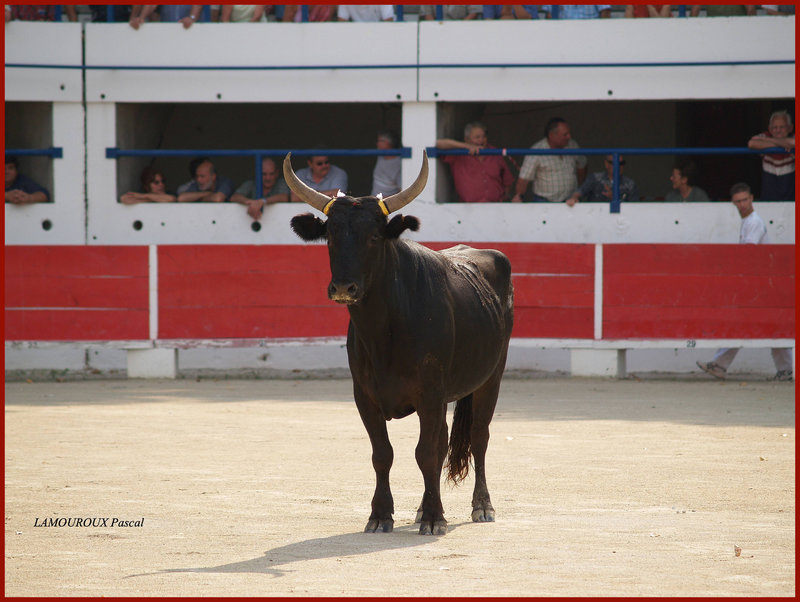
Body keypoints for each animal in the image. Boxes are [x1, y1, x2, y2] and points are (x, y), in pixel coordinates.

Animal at [284, 151, 516, 536]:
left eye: (375, 235)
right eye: (330, 234)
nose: (343, 287)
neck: (384, 332)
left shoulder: (430, 393)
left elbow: (426, 453)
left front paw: (436, 518)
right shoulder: (364, 396)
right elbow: (383, 453)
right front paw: (381, 515)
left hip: (491, 376)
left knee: (479, 436)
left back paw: (481, 506)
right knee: (445, 439)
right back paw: (422, 508)